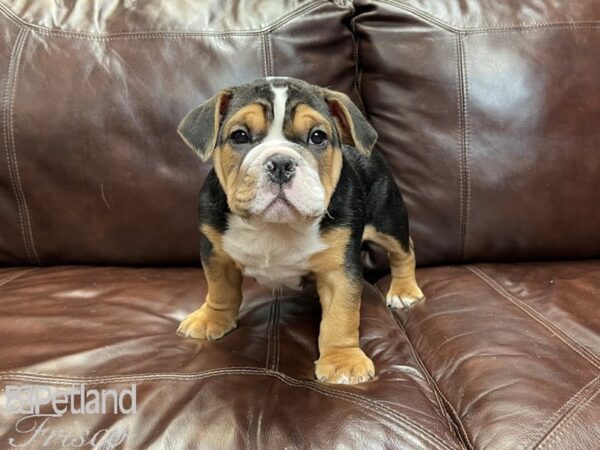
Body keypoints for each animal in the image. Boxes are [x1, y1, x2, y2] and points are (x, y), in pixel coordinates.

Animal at [176, 76, 424, 384]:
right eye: (240, 136)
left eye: (317, 137)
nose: (281, 163)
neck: (274, 226)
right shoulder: (215, 252)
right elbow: (220, 289)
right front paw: (212, 318)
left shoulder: (339, 270)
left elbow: (341, 314)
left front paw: (342, 360)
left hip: (387, 219)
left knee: (404, 249)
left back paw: (404, 290)